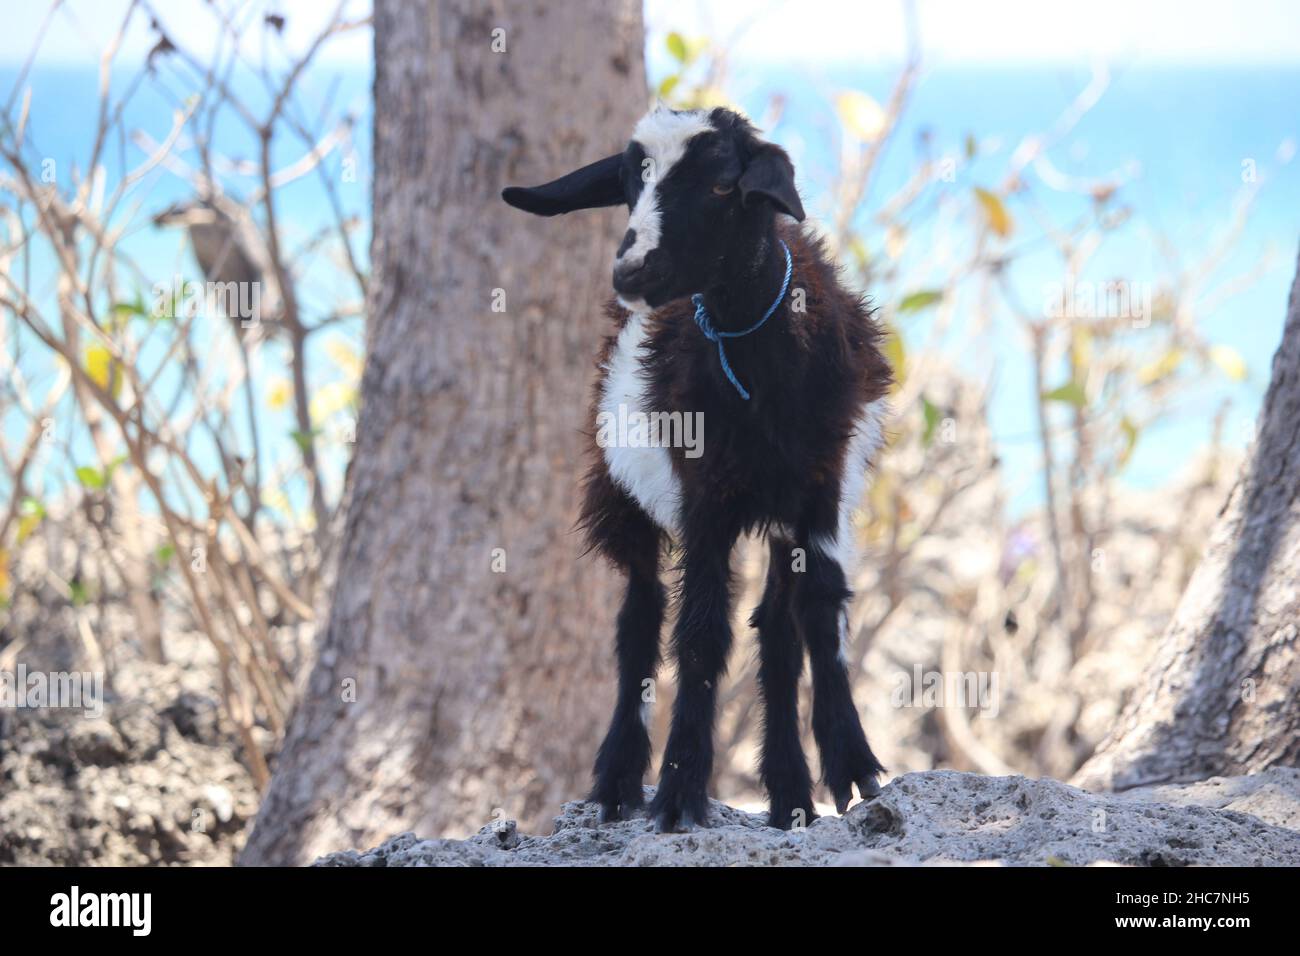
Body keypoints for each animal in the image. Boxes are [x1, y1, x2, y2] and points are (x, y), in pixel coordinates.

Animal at [501, 104, 889, 832]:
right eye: (630, 182)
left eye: (719, 185)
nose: (630, 272)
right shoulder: (702, 497)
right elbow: (701, 632)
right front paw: (680, 790)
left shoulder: (822, 490)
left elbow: (821, 613)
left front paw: (855, 768)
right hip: (620, 495)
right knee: (640, 619)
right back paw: (618, 783)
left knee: (776, 631)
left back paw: (790, 798)